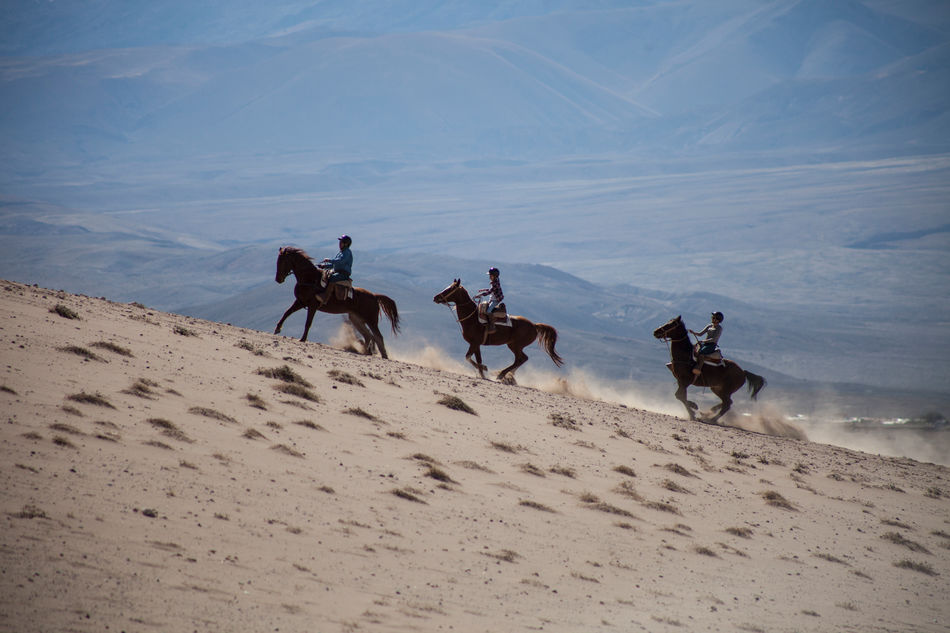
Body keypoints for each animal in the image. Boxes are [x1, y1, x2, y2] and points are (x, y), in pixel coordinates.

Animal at [434, 278, 564, 382]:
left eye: (450, 289)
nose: (436, 297)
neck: (472, 318)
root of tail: (534, 325)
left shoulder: (474, 343)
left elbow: (468, 357)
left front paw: (484, 369)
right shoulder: (476, 344)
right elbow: (478, 359)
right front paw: (482, 373)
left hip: (516, 345)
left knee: (521, 359)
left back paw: (502, 374)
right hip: (514, 345)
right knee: (521, 359)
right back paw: (508, 374)